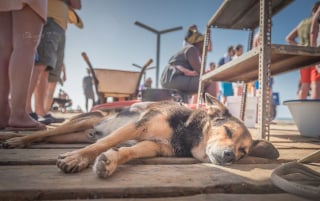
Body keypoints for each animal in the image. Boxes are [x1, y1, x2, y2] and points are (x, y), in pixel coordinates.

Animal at [1, 94, 278, 177]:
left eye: (243, 152)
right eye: (228, 131)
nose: (230, 156)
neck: (186, 132)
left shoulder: (152, 146)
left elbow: (127, 151)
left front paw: (110, 161)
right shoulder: (137, 127)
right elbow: (106, 143)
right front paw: (77, 159)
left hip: (75, 135)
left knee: (47, 138)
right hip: (85, 121)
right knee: (45, 133)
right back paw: (16, 139)